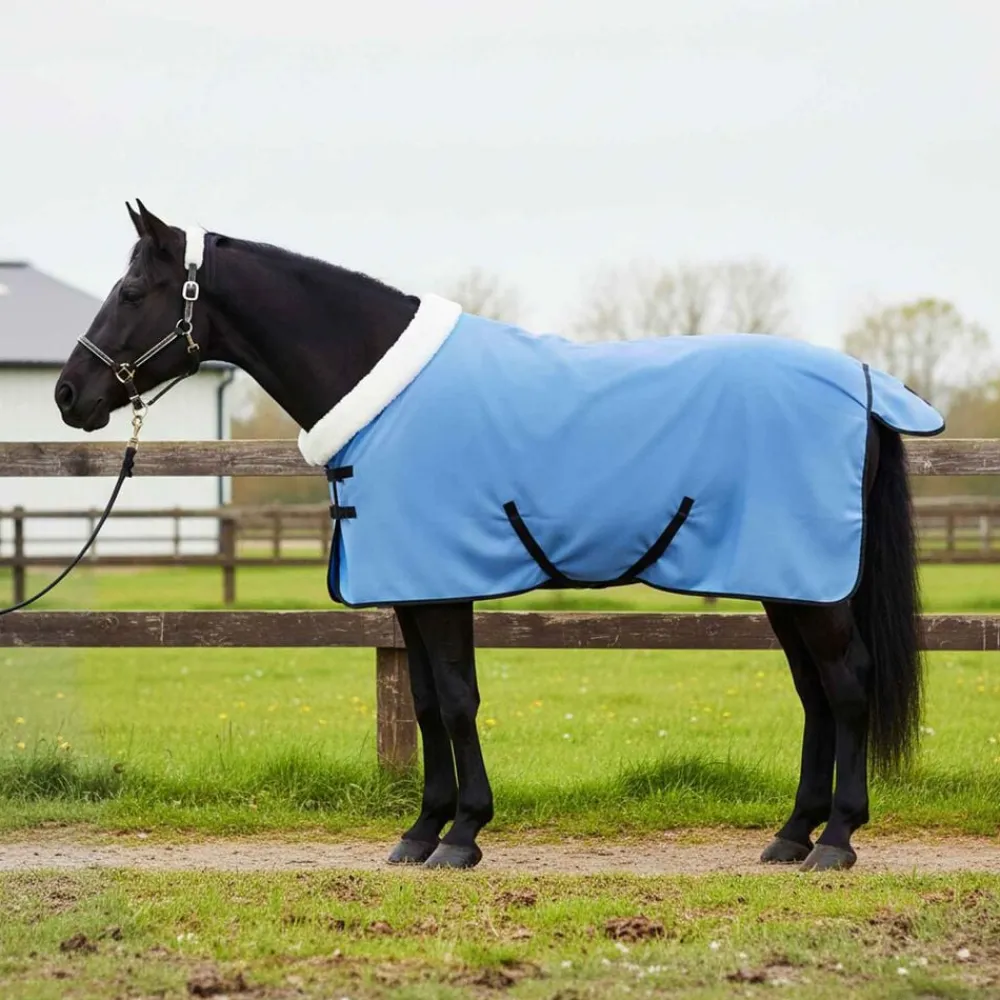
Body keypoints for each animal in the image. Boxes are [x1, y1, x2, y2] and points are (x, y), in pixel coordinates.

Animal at [55, 201, 943, 872]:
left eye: (133, 289)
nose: (69, 393)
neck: (381, 391)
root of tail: (866, 386)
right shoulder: (410, 591)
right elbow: (422, 702)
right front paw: (421, 833)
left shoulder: (441, 586)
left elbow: (455, 701)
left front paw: (463, 835)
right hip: (787, 582)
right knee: (815, 694)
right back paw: (791, 836)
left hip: (812, 587)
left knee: (848, 686)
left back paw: (836, 840)